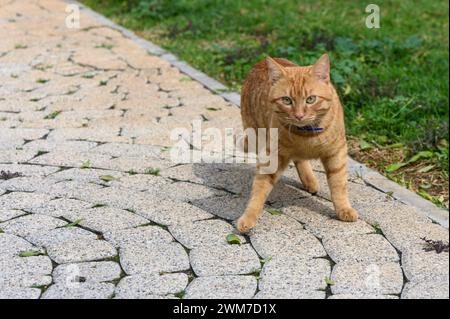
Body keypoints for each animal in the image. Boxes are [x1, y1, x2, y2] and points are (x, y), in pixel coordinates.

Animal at [239, 53, 358, 232]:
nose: (299, 115)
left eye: (311, 99)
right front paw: (248, 216)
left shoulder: (336, 153)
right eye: (287, 100)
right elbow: (259, 189)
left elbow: (339, 185)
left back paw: (310, 181)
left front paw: (343, 209)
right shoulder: (273, 156)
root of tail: (258, 63)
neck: (307, 136)